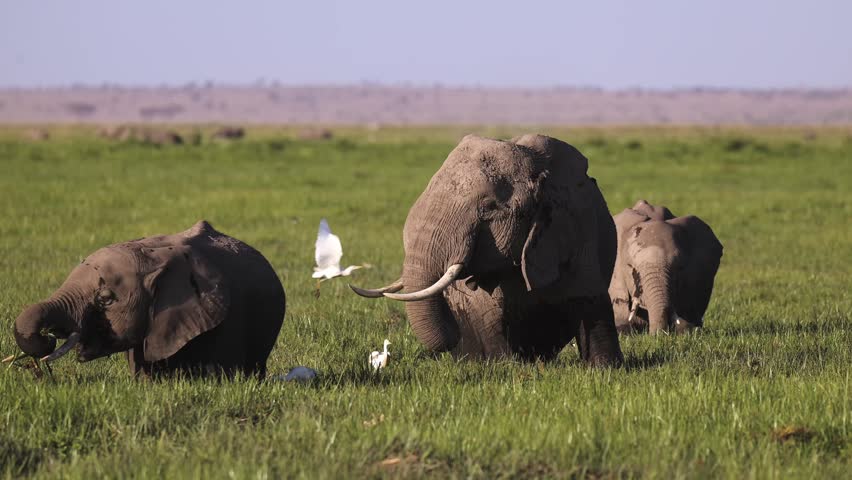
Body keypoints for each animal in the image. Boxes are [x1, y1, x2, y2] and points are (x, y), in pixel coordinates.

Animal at [351, 134, 623, 366]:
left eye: (490, 208)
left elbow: (590, 298)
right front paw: (503, 367)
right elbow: (487, 312)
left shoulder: (578, 223)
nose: (453, 330)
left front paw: (605, 368)